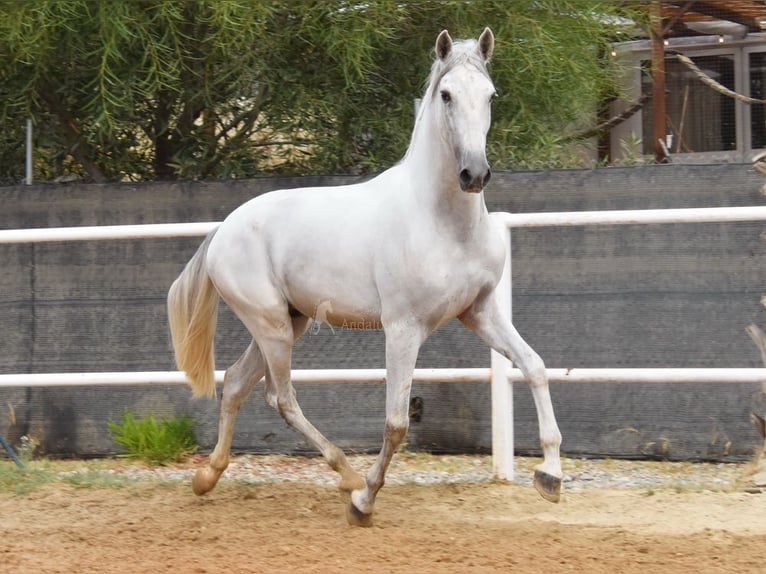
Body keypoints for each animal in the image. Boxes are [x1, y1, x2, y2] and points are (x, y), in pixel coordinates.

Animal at [167, 28, 563, 527]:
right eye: (447, 95)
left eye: (491, 95)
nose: (475, 173)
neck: (443, 222)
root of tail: (223, 229)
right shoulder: (404, 329)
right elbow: (396, 423)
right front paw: (364, 503)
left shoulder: (480, 313)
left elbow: (534, 366)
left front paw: (550, 477)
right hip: (271, 326)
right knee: (281, 397)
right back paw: (348, 477)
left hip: (288, 323)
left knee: (237, 382)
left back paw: (209, 477)